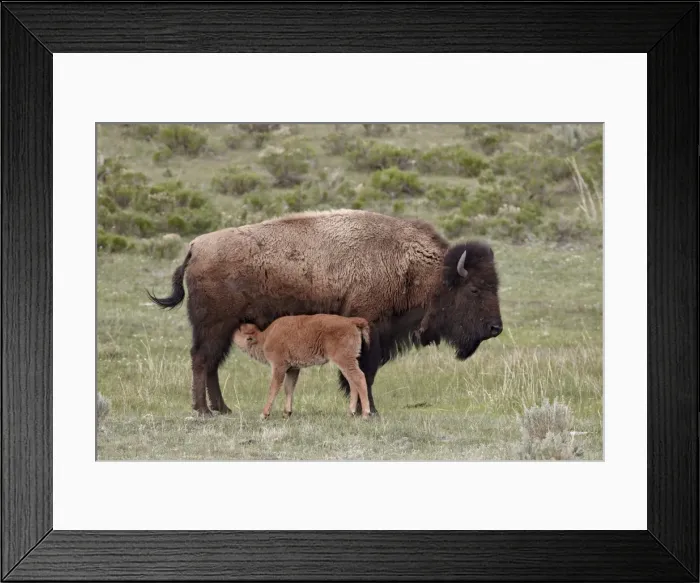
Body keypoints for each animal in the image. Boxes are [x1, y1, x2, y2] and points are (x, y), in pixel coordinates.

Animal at [232, 314, 372, 419]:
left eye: (240, 330)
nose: (234, 328)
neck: (265, 337)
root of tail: (351, 321)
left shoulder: (279, 367)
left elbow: (273, 388)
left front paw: (264, 414)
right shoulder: (293, 369)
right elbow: (289, 388)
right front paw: (287, 413)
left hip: (344, 360)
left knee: (359, 378)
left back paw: (365, 414)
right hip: (347, 362)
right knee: (353, 382)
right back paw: (350, 413)